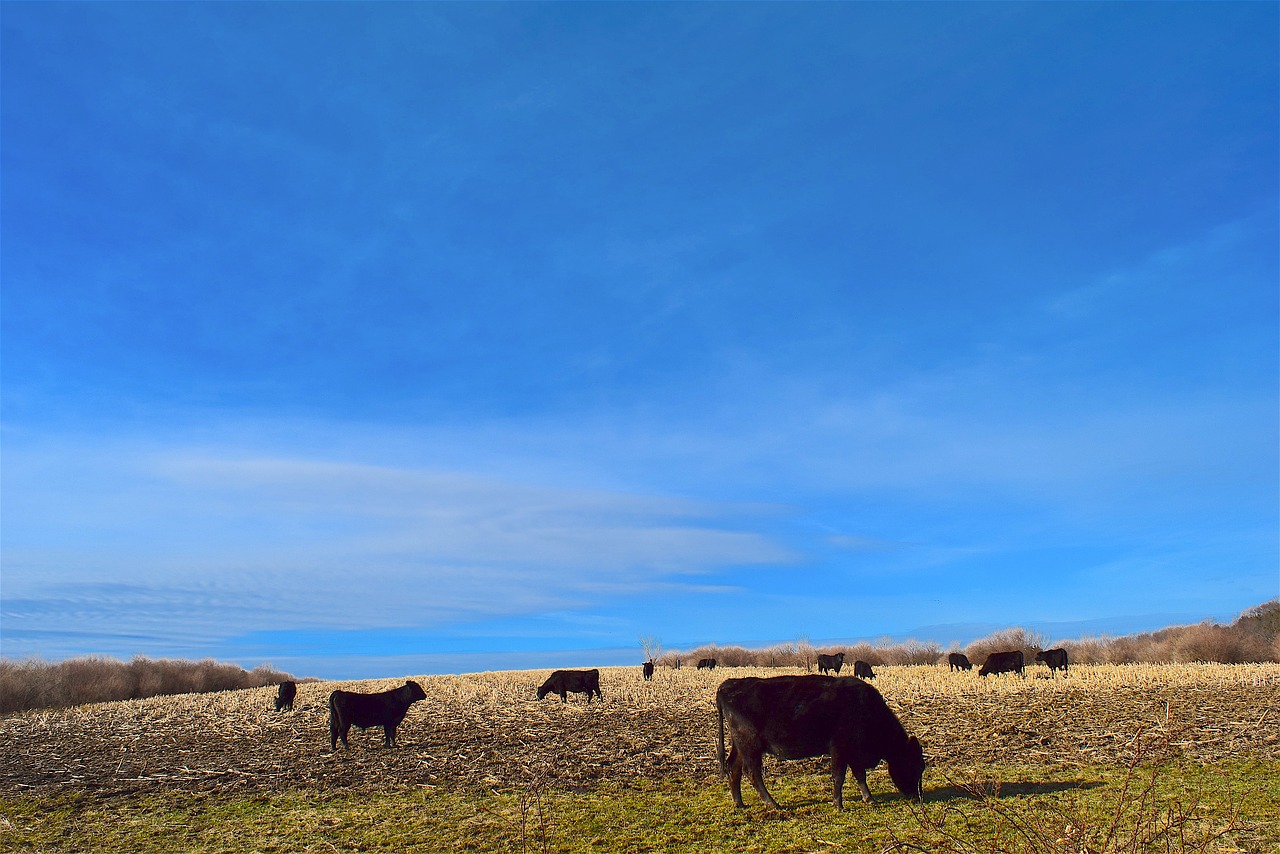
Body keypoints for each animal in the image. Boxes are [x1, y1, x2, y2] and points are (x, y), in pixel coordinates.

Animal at [716, 676, 926, 814]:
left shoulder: (853, 751)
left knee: (734, 767)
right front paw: (839, 805)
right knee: (752, 773)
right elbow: (839, 776)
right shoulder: (840, 747)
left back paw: (739, 803)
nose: (917, 796)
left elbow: (860, 774)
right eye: (915, 765)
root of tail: (730, 684)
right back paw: (772, 803)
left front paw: (869, 798)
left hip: (740, 746)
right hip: (750, 746)